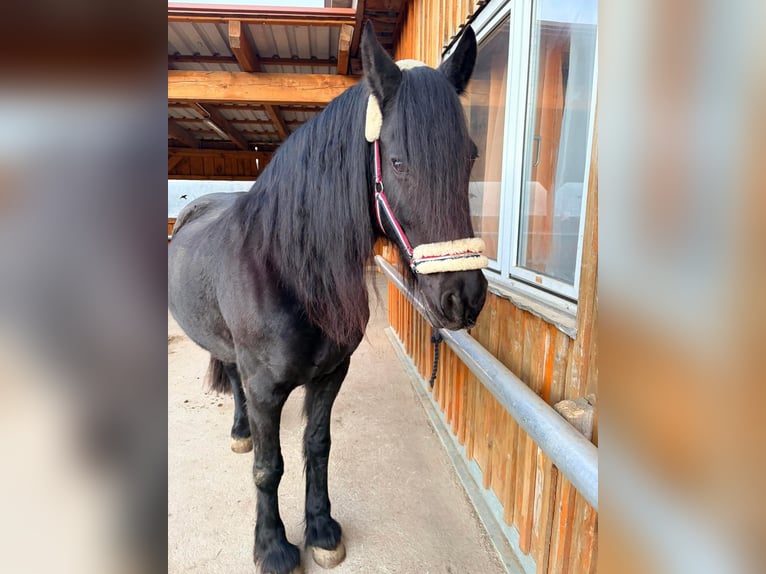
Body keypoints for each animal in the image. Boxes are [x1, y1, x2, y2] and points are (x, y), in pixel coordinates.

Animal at [168, 22, 487, 574]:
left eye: (469, 156)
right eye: (398, 162)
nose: (463, 297)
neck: (287, 271)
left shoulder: (331, 376)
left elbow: (317, 447)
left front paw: (320, 529)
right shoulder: (265, 390)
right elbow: (268, 467)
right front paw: (273, 547)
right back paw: (240, 433)